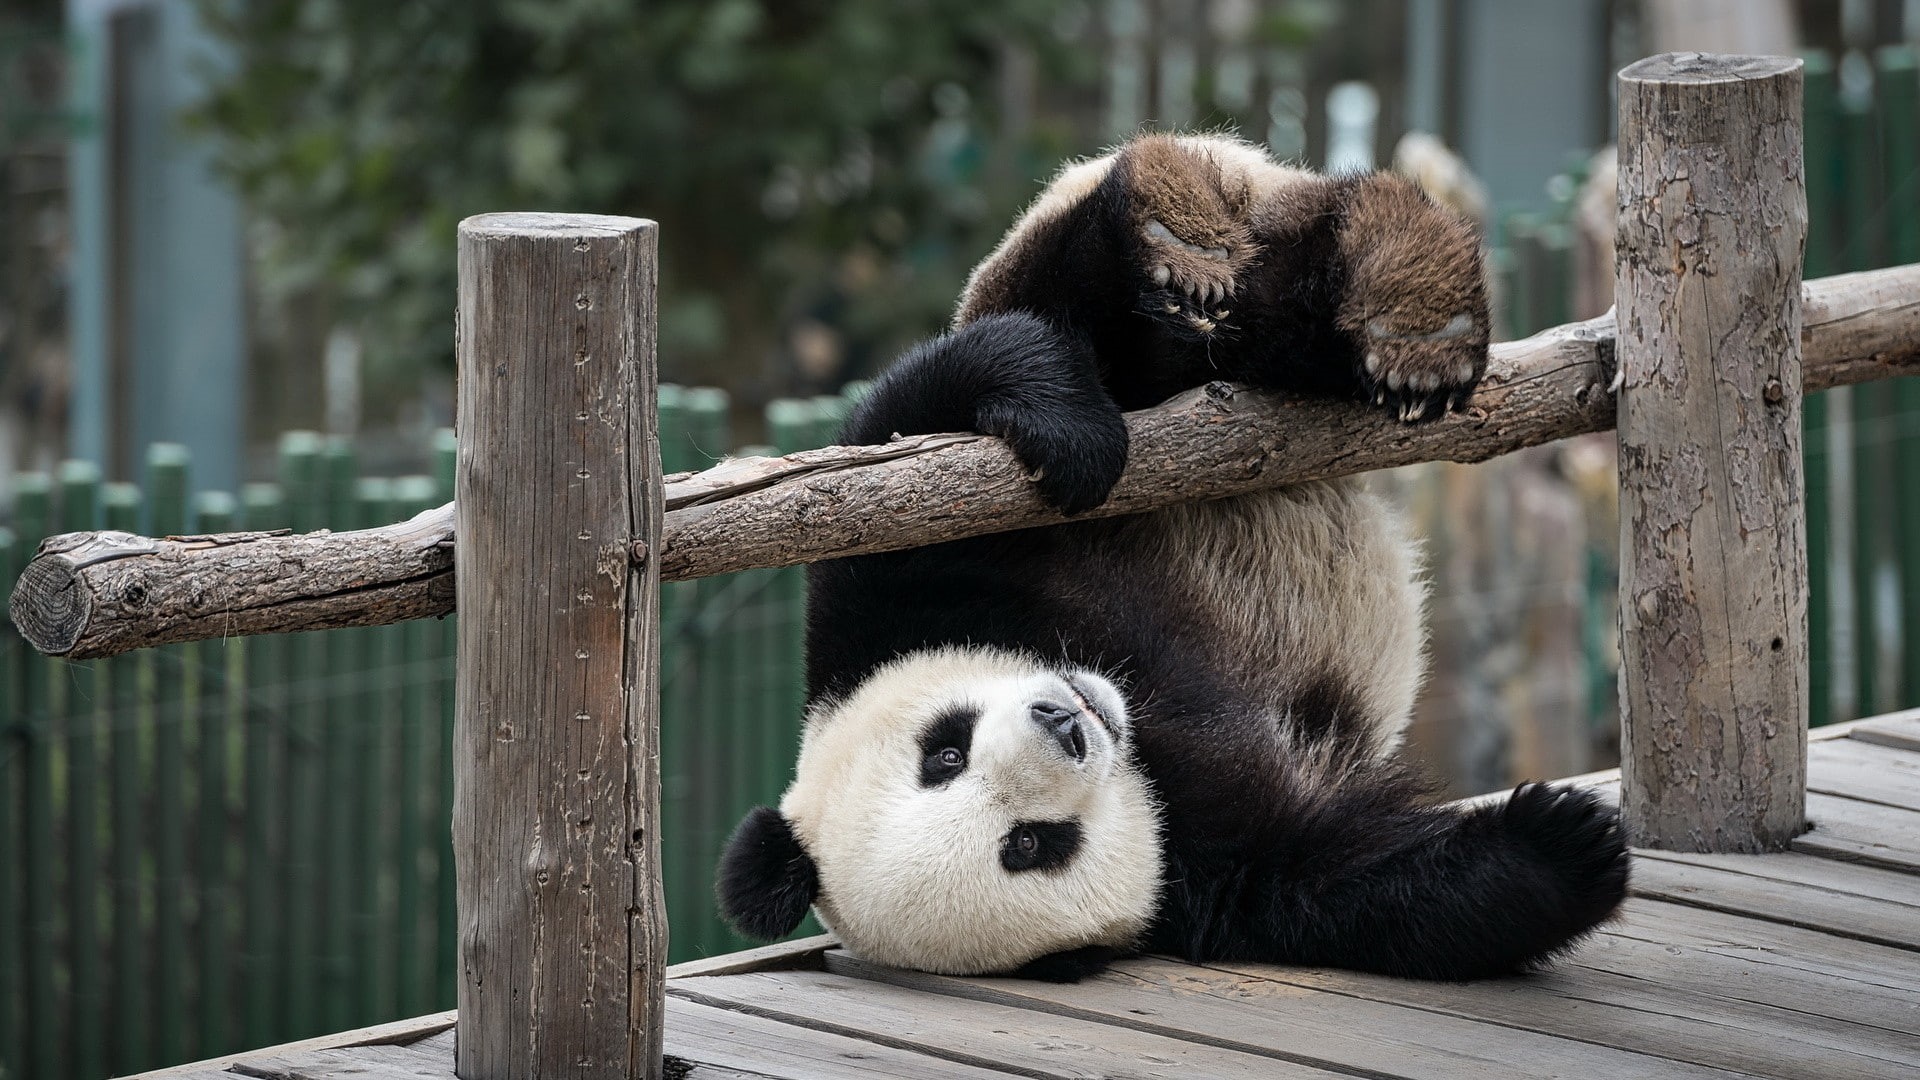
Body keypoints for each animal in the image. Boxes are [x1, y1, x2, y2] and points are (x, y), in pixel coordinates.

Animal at [716, 132, 1629, 983]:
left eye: (944, 750)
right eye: (1029, 845)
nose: (1065, 723)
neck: (1138, 722)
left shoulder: (882, 595)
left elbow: (918, 417)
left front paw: (1073, 437)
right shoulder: (1205, 876)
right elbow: (1349, 883)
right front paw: (1568, 846)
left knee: (1119, 305)